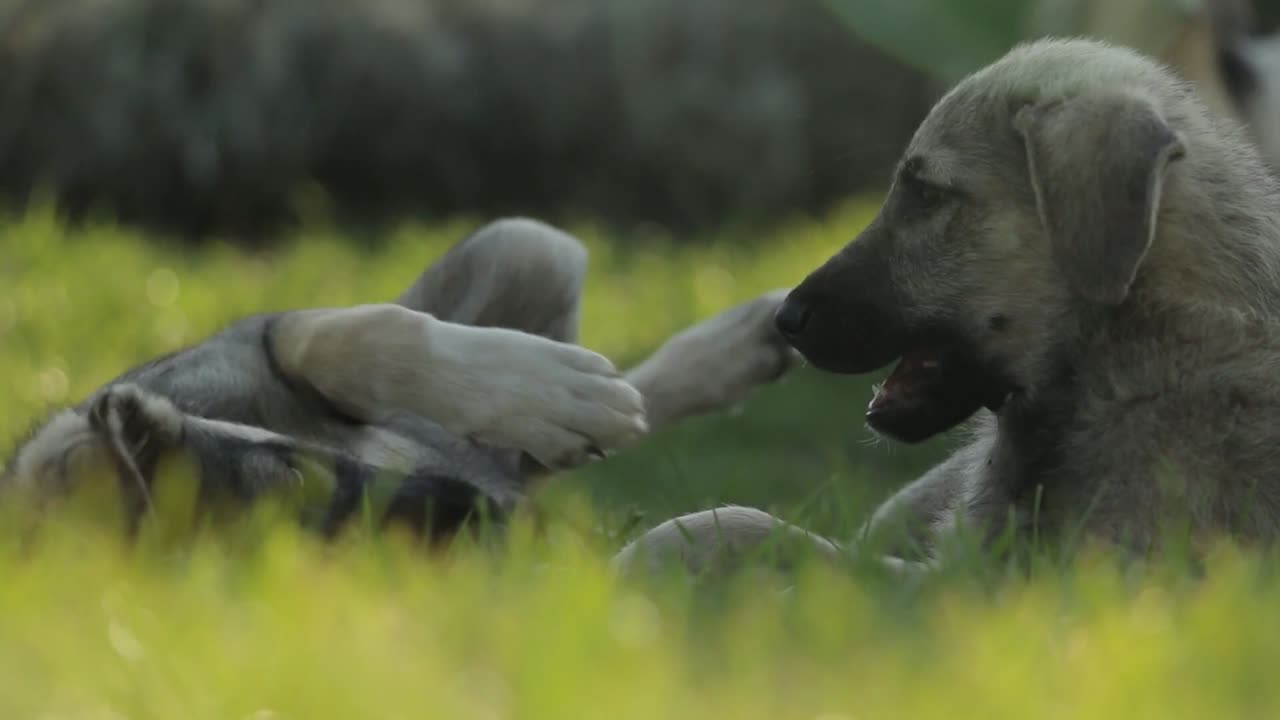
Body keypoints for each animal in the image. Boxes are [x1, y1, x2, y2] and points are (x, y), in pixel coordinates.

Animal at [2, 215, 798, 540]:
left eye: (296, 478)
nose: (484, 512)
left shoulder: (255, 346)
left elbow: (361, 337)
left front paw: (552, 394)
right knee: (559, 450)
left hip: (525, 246)